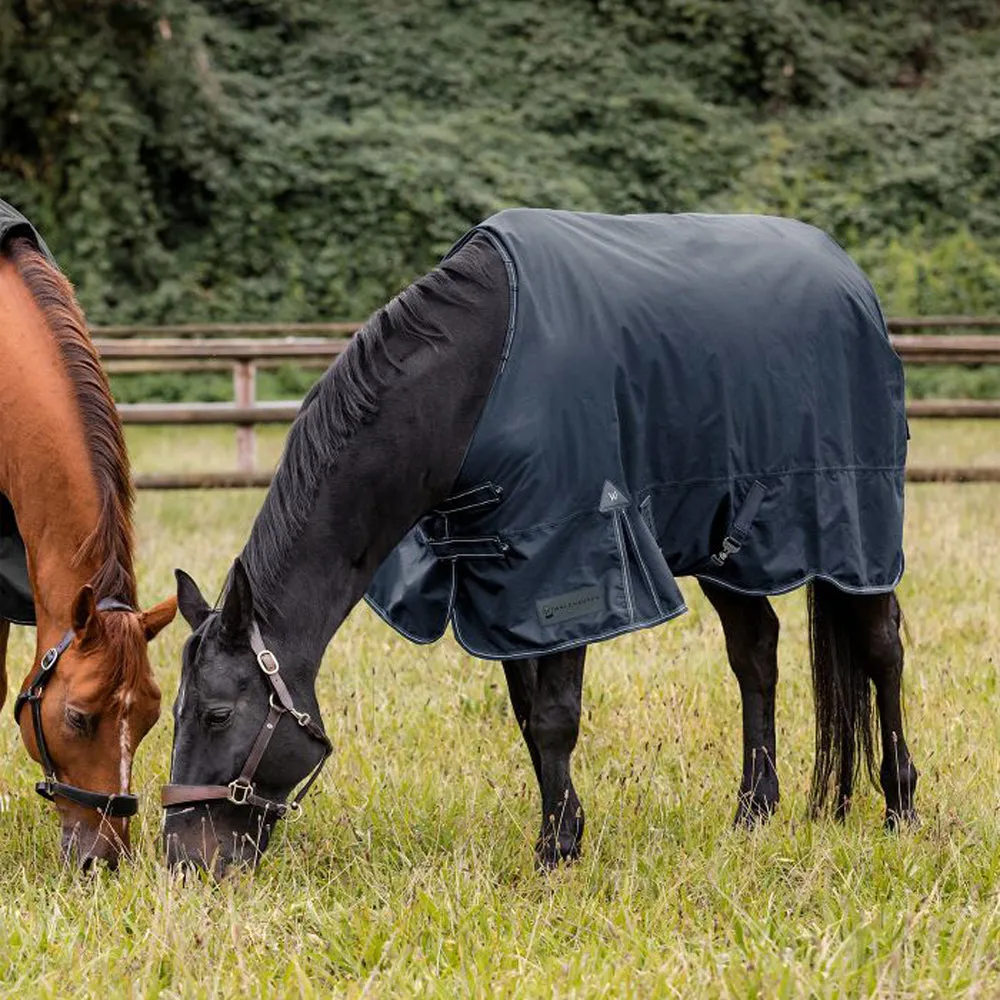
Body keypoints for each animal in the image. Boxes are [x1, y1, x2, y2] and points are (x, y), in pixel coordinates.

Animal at [162, 210, 917, 876]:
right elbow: (530, 720)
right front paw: (565, 832)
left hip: (858, 529)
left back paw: (900, 806)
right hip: (729, 547)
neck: (473, 379)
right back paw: (753, 813)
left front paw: (555, 855)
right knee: (755, 655)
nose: (184, 862)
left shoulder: (570, 562)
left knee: (881, 649)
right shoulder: (502, 581)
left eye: (217, 714)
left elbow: (555, 718)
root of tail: (851, 279)